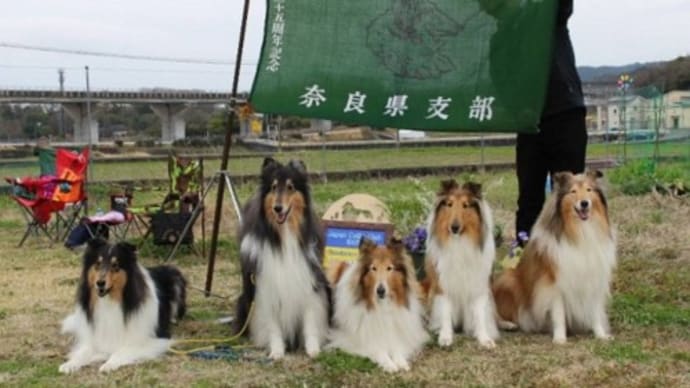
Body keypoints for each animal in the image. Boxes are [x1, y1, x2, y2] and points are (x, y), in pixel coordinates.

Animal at [58, 239, 185, 372]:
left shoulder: (153, 340)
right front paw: (70, 364)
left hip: (176, 278)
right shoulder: (95, 338)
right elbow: (84, 352)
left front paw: (108, 364)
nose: (100, 283)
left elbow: (121, 351)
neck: (110, 301)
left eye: (115, 265)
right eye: (98, 263)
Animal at [234, 157, 330, 358]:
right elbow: (272, 326)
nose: (278, 208)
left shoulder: (308, 283)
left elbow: (310, 320)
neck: (284, 235)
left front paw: (313, 349)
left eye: (290, 187)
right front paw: (277, 351)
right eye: (273, 187)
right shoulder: (266, 288)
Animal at [326, 236, 424, 372]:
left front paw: (401, 362)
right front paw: (389, 364)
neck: (382, 305)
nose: (380, 291)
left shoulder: (397, 332)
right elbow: (378, 349)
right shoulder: (355, 338)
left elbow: (397, 346)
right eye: (373, 268)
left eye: (389, 268)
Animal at [422, 180, 498, 348]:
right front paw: (445, 337)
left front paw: (484, 338)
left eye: (465, 205)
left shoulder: (478, 285)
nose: (454, 227)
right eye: (449, 204)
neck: (460, 242)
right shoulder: (443, 285)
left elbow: (480, 314)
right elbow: (445, 313)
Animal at [492, 171, 616, 344]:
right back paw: (508, 324)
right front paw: (560, 338)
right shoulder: (554, 284)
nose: (584, 203)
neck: (580, 231)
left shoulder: (593, 278)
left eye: (589, 190)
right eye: (573, 191)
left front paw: (601, 335)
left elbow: (595, 311)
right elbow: (559, 314)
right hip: (509, 279)